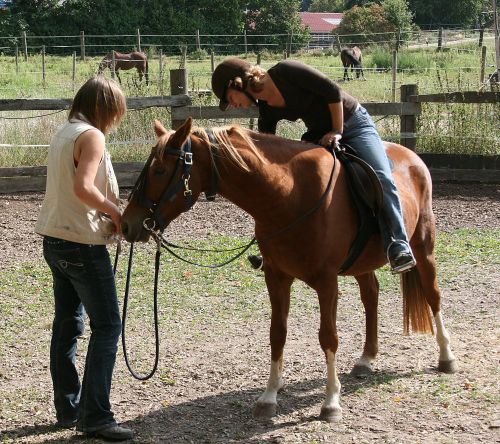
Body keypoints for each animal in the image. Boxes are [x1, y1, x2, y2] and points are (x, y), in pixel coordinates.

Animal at [121, 118, 458, 424]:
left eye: (160, 170)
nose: (127, 223)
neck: (288, 194)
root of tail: (412, 156)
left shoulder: (326, 282)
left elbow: (328, 337)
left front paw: (331, 402)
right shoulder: (277, 277)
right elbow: (277, 334)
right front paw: (269, 397)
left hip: (424, 246)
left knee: (433, 295)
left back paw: (446, 356)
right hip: (362, 263)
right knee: (371, 296)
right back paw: (367, 359)